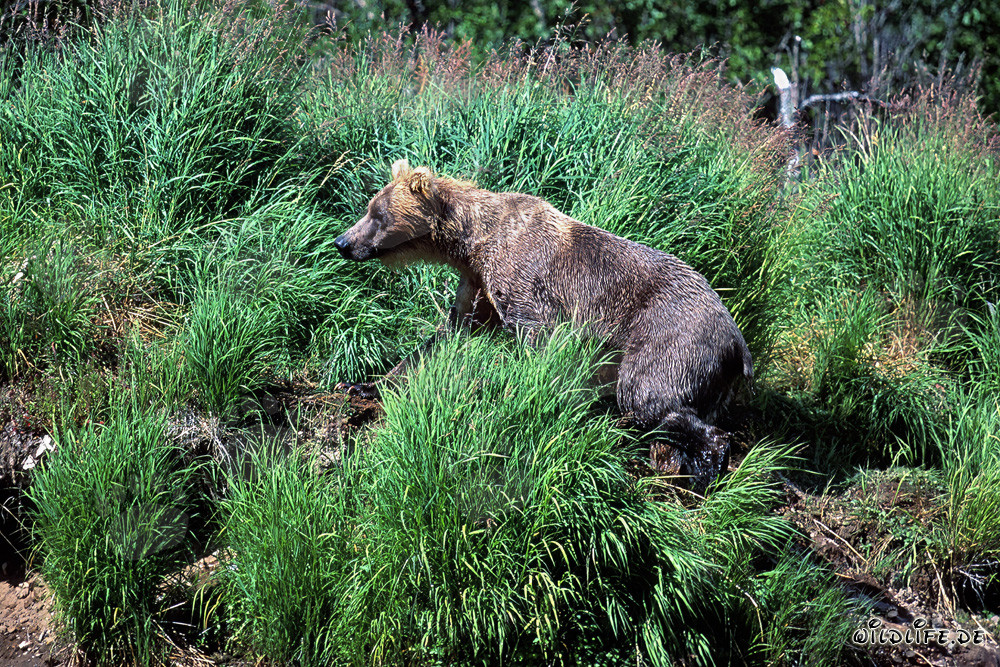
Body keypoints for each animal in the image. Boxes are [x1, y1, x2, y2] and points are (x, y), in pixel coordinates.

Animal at [334, 159, 753, 492]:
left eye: (377, 214)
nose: (342, 241)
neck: (472, 242)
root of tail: (737, 340)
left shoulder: (520, 276)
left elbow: (539, 337)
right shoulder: (477, 283)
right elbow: (447, 335)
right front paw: (364, 384)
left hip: (672, 337)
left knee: (647, 397)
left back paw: (707, 469)